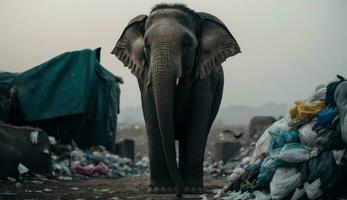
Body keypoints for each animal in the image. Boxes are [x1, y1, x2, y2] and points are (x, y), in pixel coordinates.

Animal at [113, 3, 241, 196]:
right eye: (147, 45)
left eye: (187, 43)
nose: (178, 193)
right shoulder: (145, 75)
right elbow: (152, 115)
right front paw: (160, 189)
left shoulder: (205, 76)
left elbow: (197, 120)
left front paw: (192, 189)